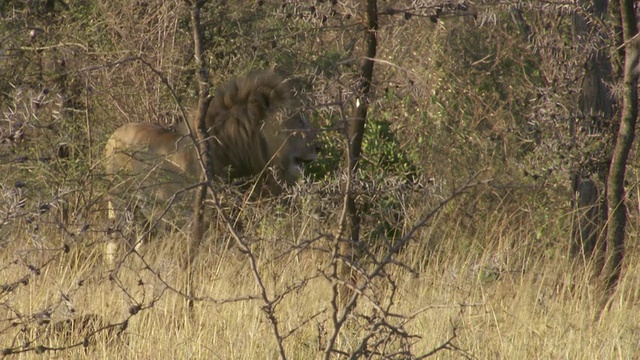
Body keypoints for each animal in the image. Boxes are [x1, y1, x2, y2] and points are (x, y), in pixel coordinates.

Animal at [104, 69, 320, 264]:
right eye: (298, 118)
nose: (318, 148)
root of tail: (112, 136)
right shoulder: (210, 216)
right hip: (122, 206)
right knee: (115, 245)